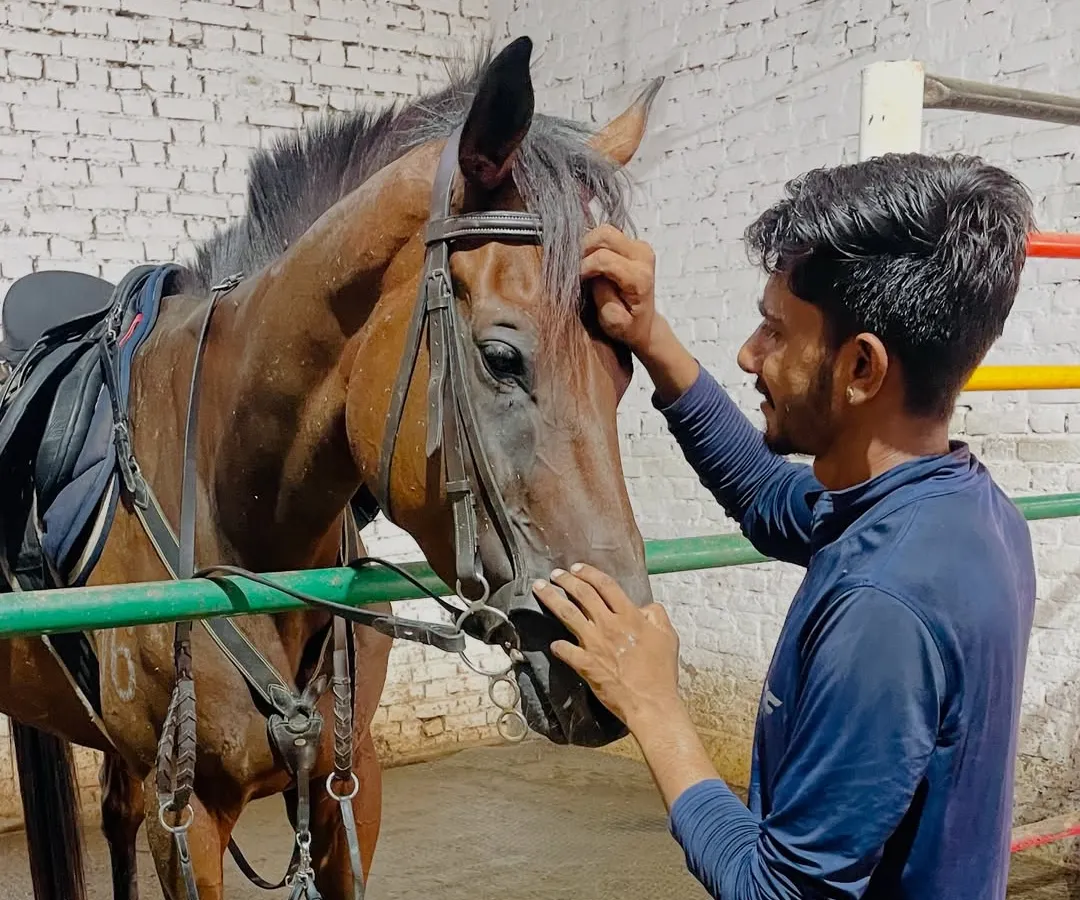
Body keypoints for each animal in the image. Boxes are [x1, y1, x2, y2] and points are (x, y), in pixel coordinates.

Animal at [0, 36, 660, 900]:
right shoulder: (185, 820)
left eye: (624, 364)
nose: (612, 673)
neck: (230, 498)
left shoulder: (350, 783)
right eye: (501, 358)